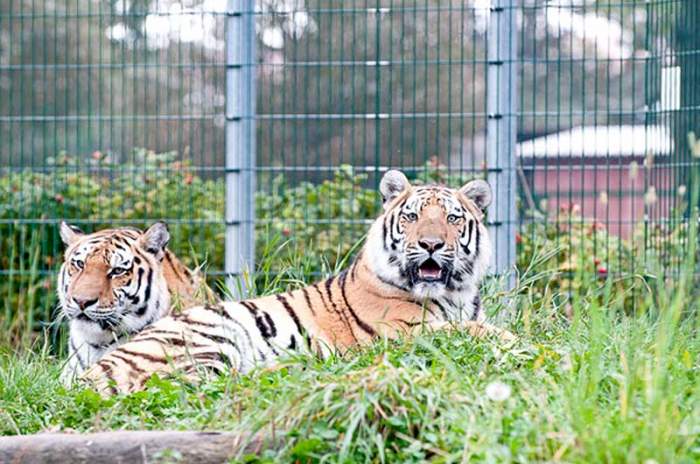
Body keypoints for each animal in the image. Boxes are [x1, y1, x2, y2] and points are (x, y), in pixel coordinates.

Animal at [83, 171, 516, 396]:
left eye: (452, 219)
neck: (455, 294)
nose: (430, 244)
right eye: (411, 217)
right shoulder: (409, 331)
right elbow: (477, 331)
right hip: (208, 339)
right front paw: (514, 341)